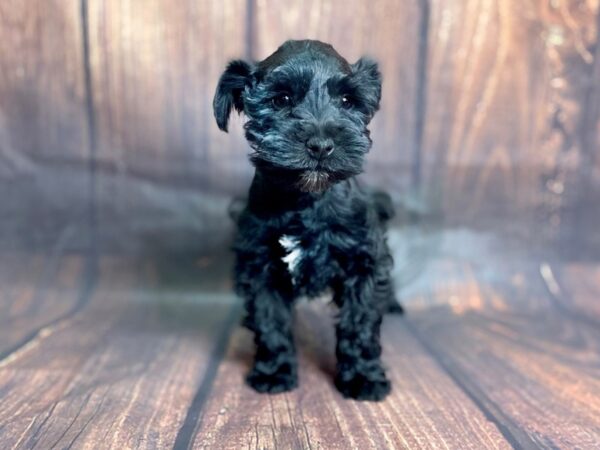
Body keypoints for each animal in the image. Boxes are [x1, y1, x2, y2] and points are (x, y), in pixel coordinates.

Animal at [213, 39, 400, 400]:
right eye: (281, 100)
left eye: (347, 101)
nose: (321, 145)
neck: (306, 202)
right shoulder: (261, 267)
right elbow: (270, 322)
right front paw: (274, 371)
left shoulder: (364, 262)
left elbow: (359, 322)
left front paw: (363, 377)